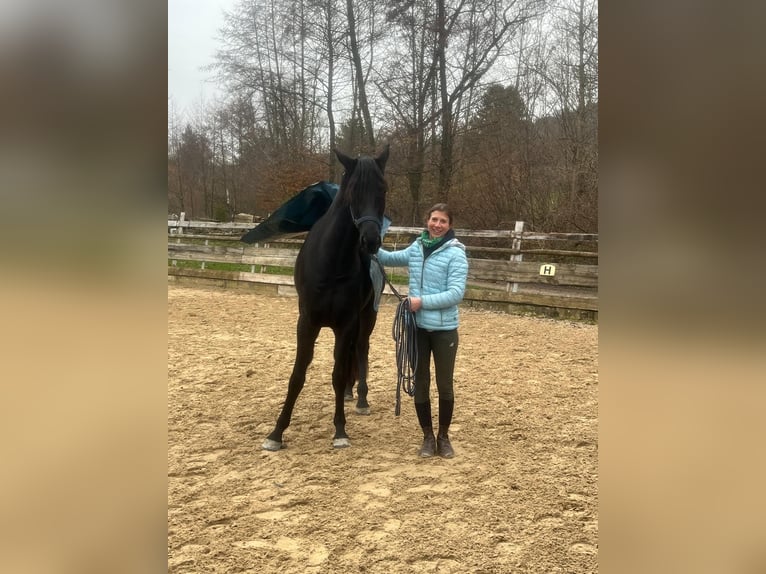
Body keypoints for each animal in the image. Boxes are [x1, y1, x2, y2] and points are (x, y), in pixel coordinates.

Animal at [261, 145, 390, 451]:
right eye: (353, 190)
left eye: (383, 189)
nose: (370, 241)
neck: (332, 262)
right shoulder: (307, 322)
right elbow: (297, 376)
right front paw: (276, 432)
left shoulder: (346, 323)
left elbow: (338, 374)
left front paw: (340, 430)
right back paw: (350, 394)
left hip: (367, 317)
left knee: (361, 350)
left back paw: (361, 398)